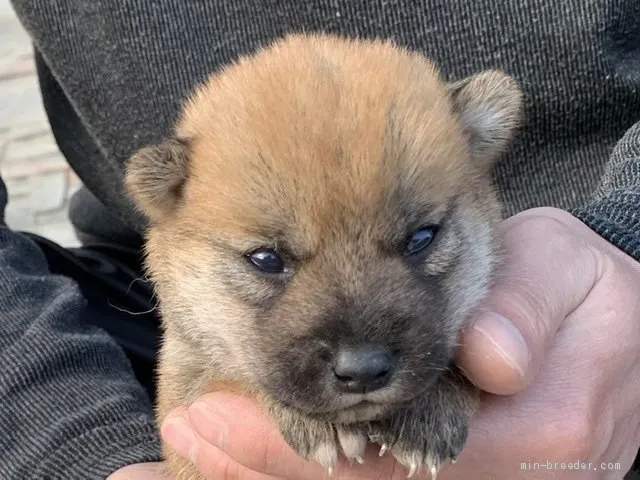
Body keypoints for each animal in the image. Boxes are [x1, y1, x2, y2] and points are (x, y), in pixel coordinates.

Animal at [126, 32, 524, 480]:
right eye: (266, 259)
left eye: (422, 237)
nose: (363, 370)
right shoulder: (184, 387)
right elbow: (231, 377)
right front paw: (320, 425)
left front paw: (430, 408)